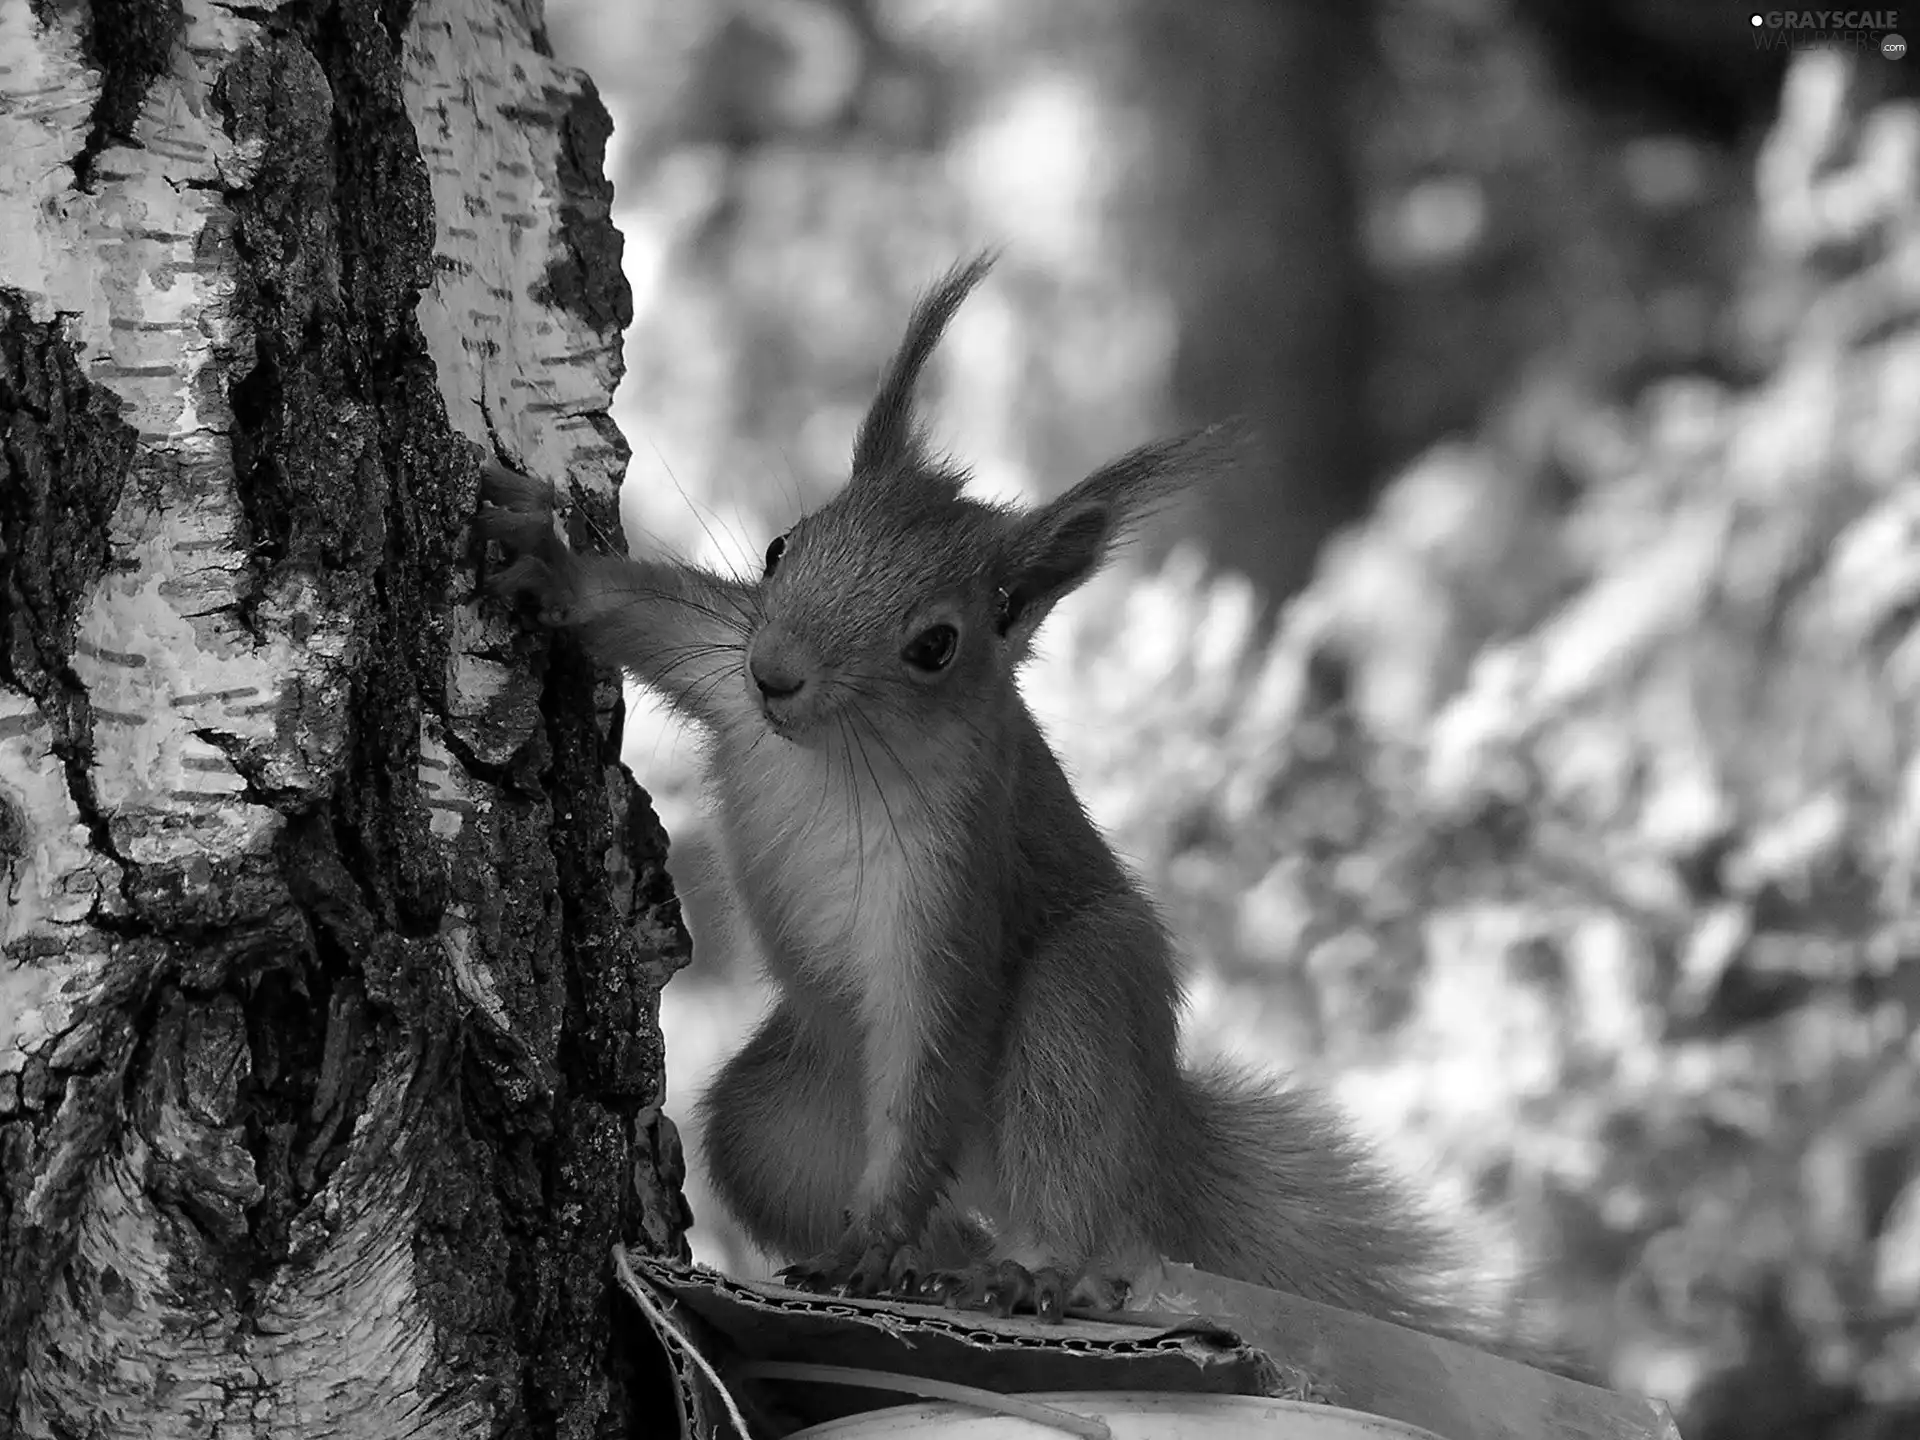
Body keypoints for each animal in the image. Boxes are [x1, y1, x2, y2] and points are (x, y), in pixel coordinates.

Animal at [476, 257, 1543, 1351]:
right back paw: (944, 1263)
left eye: (935, 645)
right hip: (779, 1119)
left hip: (1083, 1008)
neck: (835, 755)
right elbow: (645, 615)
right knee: (893, 1195)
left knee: (1079, 1192)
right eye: (781, 549)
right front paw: (546, 563)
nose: (777, 674)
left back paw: (1033, 1271)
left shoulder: (950, 881)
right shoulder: (718, 661)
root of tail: (1156, 1140)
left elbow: (929, 1049)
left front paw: (876, 1235)